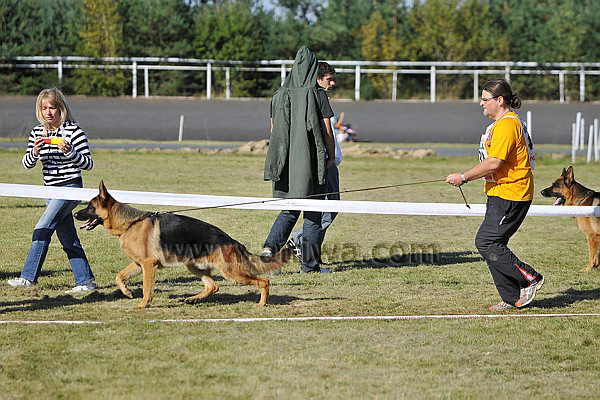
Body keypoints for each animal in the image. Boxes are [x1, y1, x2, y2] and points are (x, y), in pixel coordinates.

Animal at [74, 182, 294, 310]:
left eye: (90, 207)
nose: (75, 214)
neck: (130, 223)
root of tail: (232, 241)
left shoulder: (148, 265)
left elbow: (147, 289)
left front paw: (143, 304)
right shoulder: (139, 264)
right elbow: (119, 277)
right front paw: (127, 292)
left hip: (232, 273)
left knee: (263, 281)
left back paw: (262, 303)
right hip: (194, 266)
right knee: (213, 286)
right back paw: (193, 299)